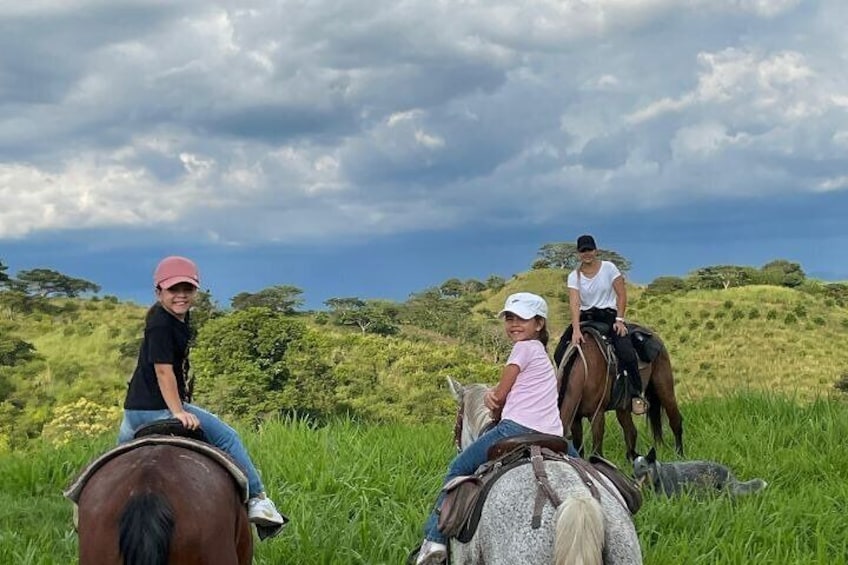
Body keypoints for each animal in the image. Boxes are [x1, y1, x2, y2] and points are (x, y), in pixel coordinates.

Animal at [556, 328, 684, 460]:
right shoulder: (575, 420)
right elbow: (579, 451)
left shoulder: (597, 415)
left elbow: (597, 452)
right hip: (623, 407)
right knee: (632, 432)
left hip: (665, 390)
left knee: (675, 421)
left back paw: (679, 454)